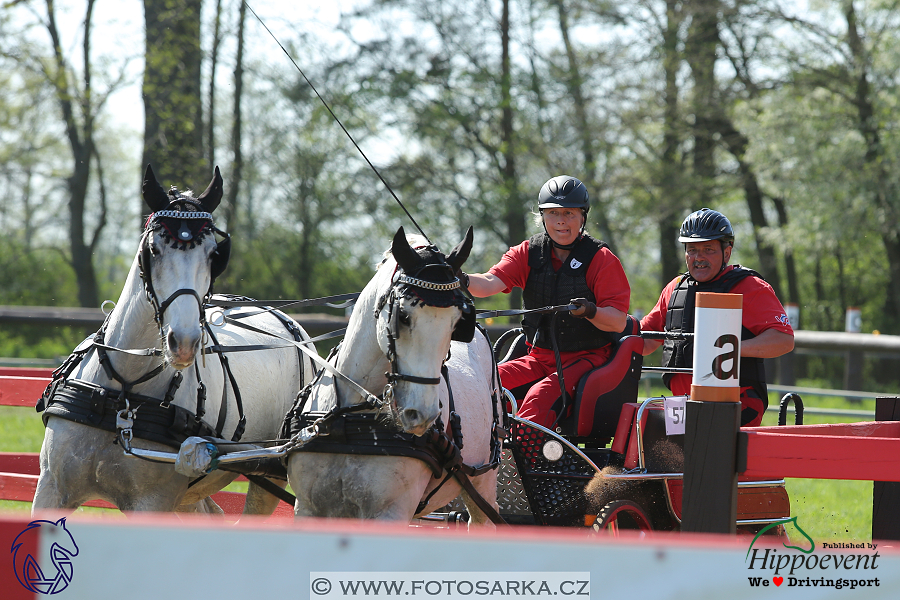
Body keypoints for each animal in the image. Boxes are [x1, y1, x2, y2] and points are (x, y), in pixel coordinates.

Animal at [32, 165, 312, 516]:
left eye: (213, 254)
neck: (122, 392)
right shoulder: (51, 490)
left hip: (267, 474)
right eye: (153, 249)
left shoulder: (152, 503)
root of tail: (288, 322)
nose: (185, 342)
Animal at [286, 229, 502, 524]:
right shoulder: (308, 508)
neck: (350, 419)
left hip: (483, 482)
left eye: (457, 323)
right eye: (403, 316)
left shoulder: (390, 512)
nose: (421, 414)